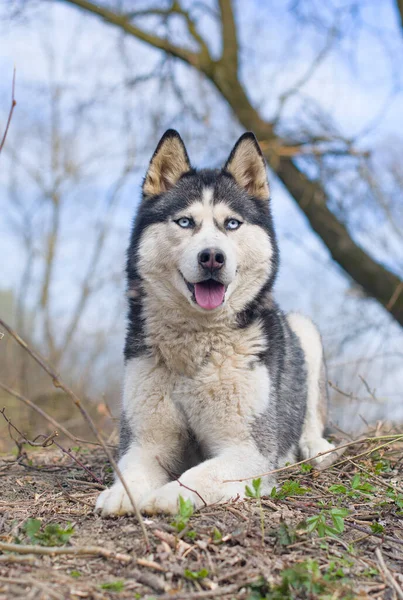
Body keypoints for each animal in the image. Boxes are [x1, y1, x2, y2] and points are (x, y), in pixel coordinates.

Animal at [95, 130, 334, 516]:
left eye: (231, 223)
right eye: (185, 222)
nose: (212, 257)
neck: (197, 347)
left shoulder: (247, 450)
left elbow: (198, 475)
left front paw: (167, 496)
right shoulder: (146, 440)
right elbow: (132, 470)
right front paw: (122, 494)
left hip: (304, 331)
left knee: (310, 417)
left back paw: (315, 447)